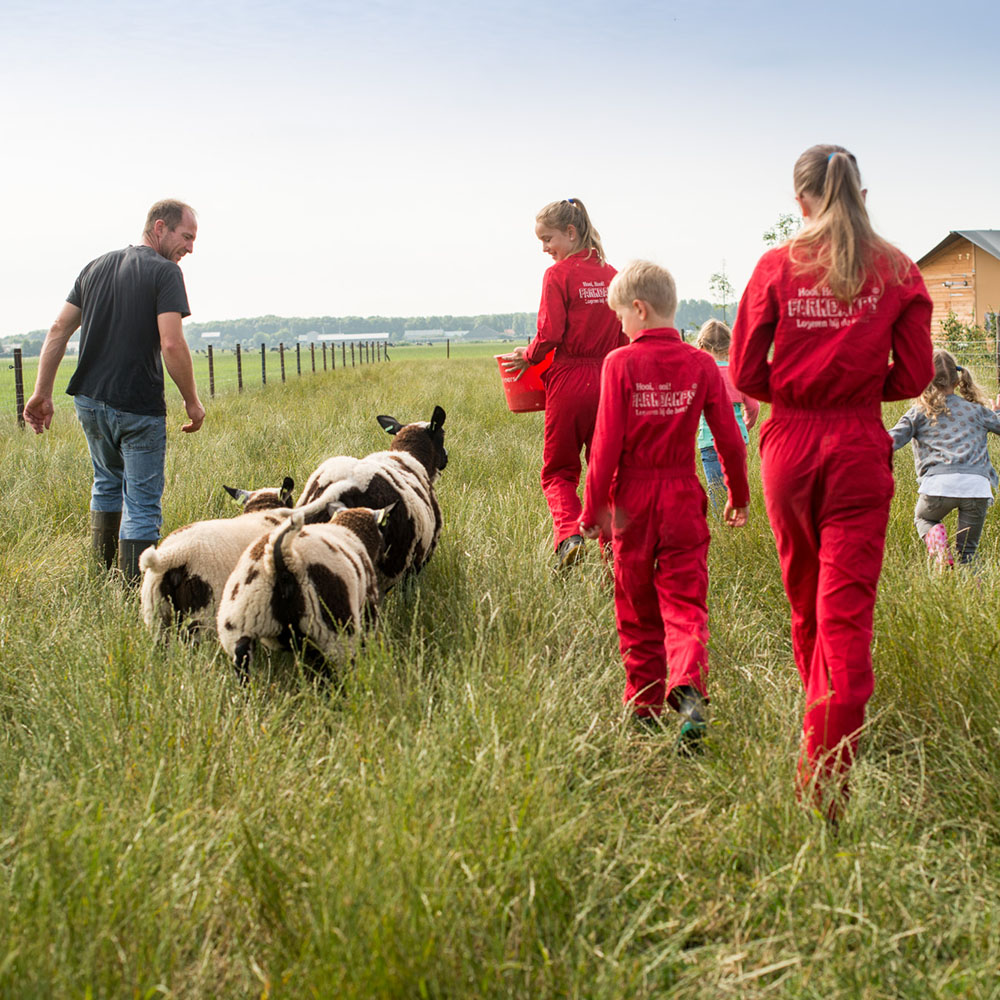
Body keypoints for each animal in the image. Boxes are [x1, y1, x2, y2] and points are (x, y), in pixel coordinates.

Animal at [217, 504, 388, 676]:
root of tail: (282, 558)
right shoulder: (368, 608)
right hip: (335, 629)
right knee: (340, 666)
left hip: (238, 623)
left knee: (241, 657)